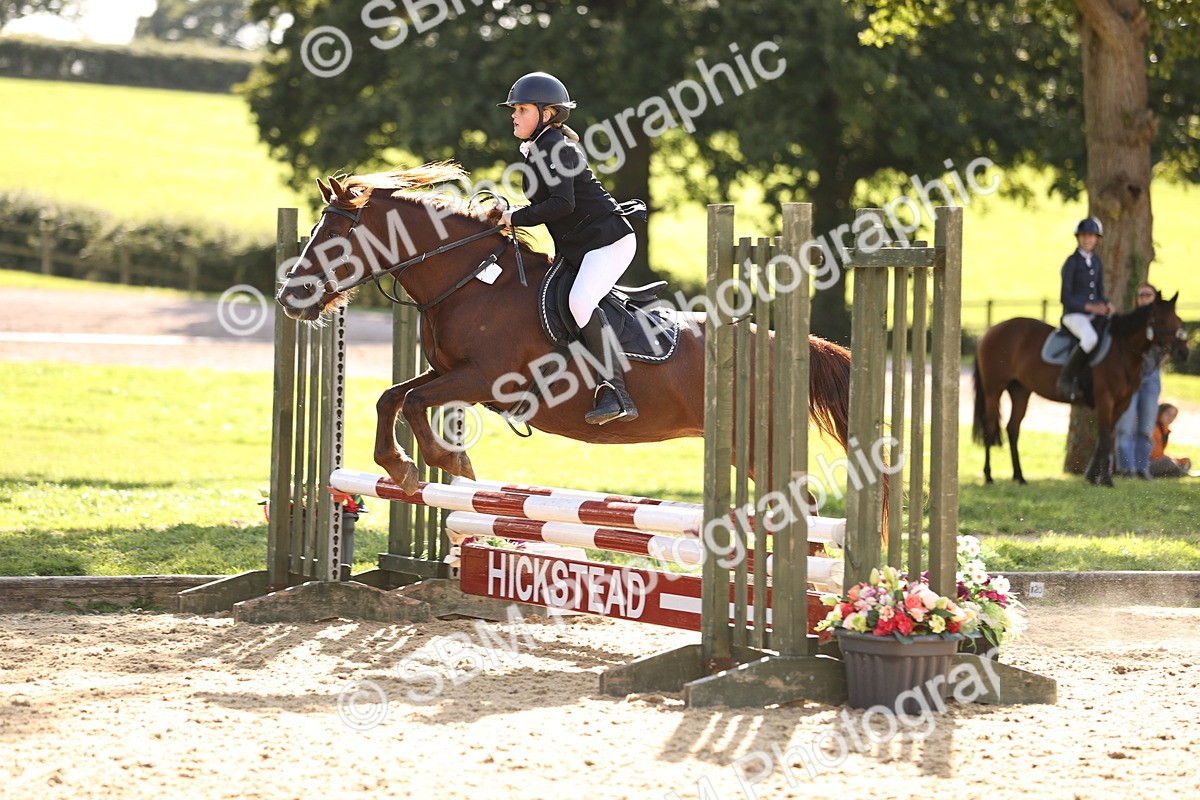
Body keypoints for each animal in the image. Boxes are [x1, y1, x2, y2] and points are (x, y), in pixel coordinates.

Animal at [275, 162, 860, 508]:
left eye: (334, 236)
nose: (290, 297)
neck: (470, 279)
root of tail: (789, 346)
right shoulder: (450, 373)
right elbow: (391, 397)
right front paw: (402, 469)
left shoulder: (485, 379)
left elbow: (415, 402)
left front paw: (447, 462)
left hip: (754, 446)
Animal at [972, 292, 1188, 486]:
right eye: (1161, 320)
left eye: (1177, 319)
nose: (1182, 352)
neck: (1122, 349)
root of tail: (991, 330)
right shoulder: (1105, 399)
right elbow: (1104, 437)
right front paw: (1106, 480)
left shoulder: (1122, 403)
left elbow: (1106, 436)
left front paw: (1092, 477)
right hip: (993, 390)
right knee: (990, 426)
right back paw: (989, 476)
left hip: (1020, 391)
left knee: (1013, 428)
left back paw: (1019, 477)